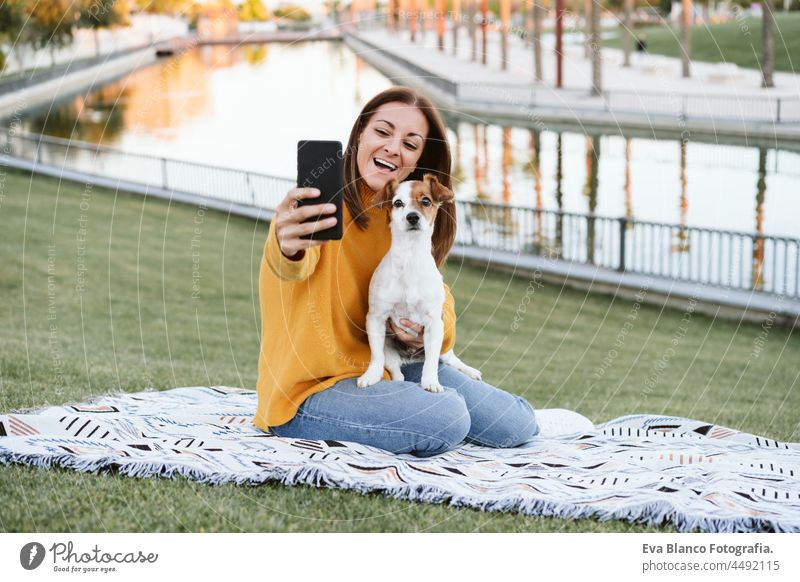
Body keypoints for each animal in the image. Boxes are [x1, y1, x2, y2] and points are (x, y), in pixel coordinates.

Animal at [356, 173, 482, 392]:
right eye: (398, 203)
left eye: (426, 201)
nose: (412, 216)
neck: (410, 258)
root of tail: (410, 358)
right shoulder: (376, 318)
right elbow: (376, 357)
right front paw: (371, 376)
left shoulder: (434, 325)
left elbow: (431, 362)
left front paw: (431, 382)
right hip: (390, 348)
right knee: (397, 373)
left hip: (443, 347)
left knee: (451, 359)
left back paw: (471, 371)